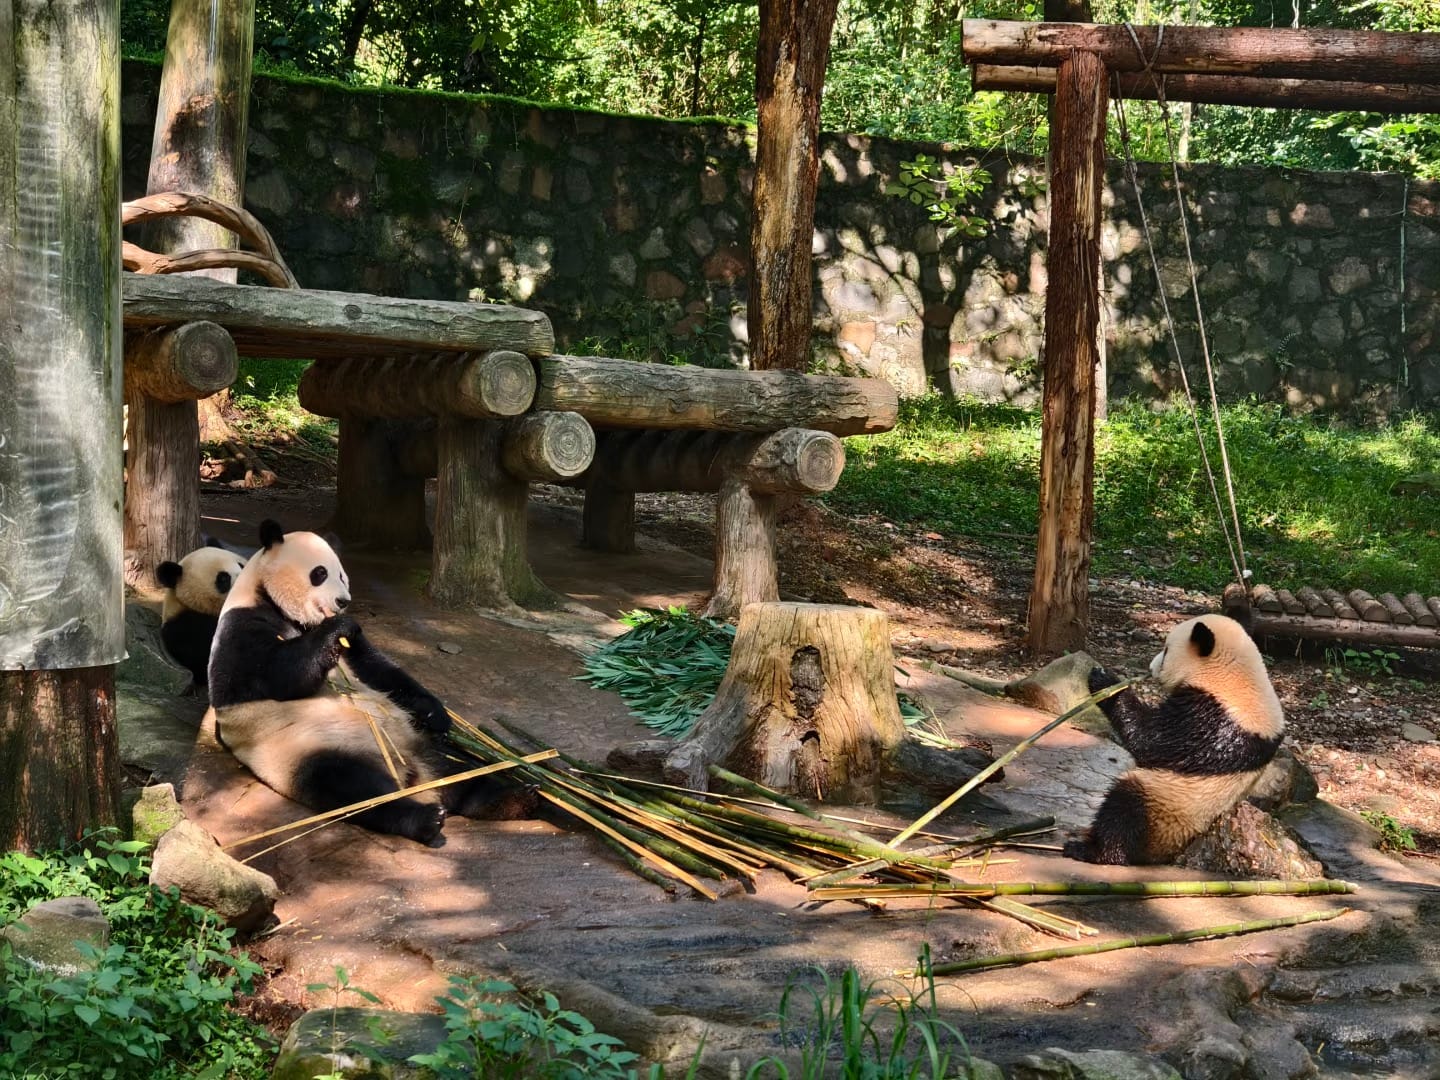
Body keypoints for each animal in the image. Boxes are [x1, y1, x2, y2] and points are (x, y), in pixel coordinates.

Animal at [207, 519, 531, 845]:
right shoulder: (241, 628)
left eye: (341, 574)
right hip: (308, 748)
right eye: (319, 573)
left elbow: (380, 670)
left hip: (416, 739)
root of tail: (408, 770)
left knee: (460, 767)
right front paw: (335, 628)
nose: (343, 601)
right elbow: (277, 674)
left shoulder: (358, 648)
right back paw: (424, 818)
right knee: (353, 787)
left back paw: (513, 797)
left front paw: (435, 713)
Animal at [1064, 614, 1285, 866]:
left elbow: (1151, 740)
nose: (1150, 667)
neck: (1235, 676)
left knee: (1124, 809)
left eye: (1167, 650)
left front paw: (1105, 682)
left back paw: (1094, 850)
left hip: (1165, 807)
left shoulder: (1211, 717)